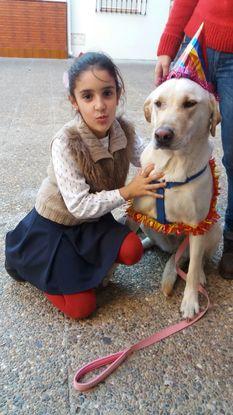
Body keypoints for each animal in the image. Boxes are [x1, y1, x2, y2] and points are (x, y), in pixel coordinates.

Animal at [133, 77, 222, 318]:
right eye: (158, 103)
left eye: (190, 103)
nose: (162, 135)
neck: (171, 167)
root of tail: (173, 251)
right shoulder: (135, 210)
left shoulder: (197, 226)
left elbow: (191, 271)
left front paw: (190, 301)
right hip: (147, 226)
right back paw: (144, 244)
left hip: (214, 229)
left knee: (196, 260)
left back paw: (200, 275)